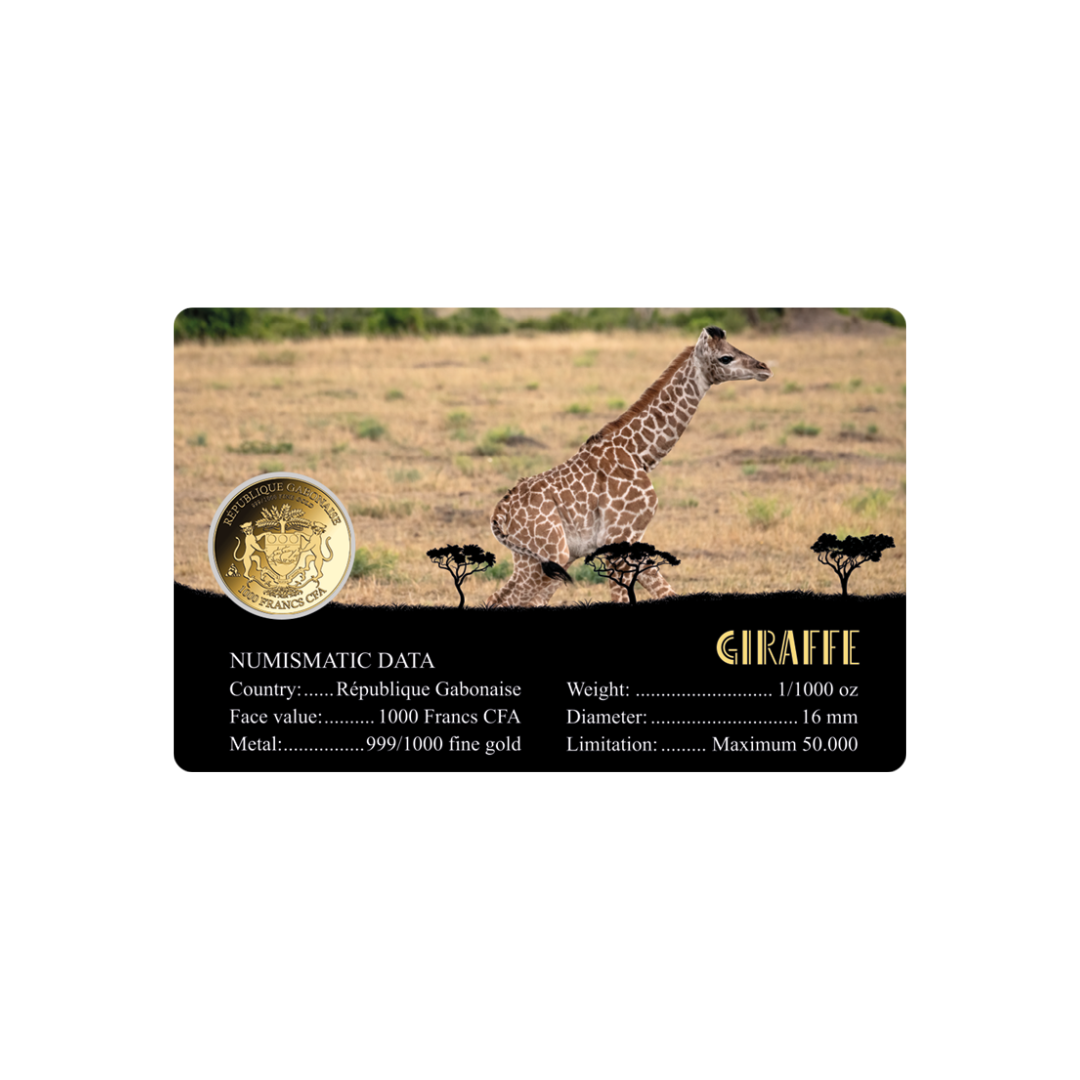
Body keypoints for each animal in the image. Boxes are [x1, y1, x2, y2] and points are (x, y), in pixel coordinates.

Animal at [485, 326, 772, 607]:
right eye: (726, 358)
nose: (764, 367)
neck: (639, 454)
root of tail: (499, 513)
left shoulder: (632, 540)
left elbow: (666, 591)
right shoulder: (617, 539)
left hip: (541, 559)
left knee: (505, 598)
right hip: (550, 555)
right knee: (505, 599)